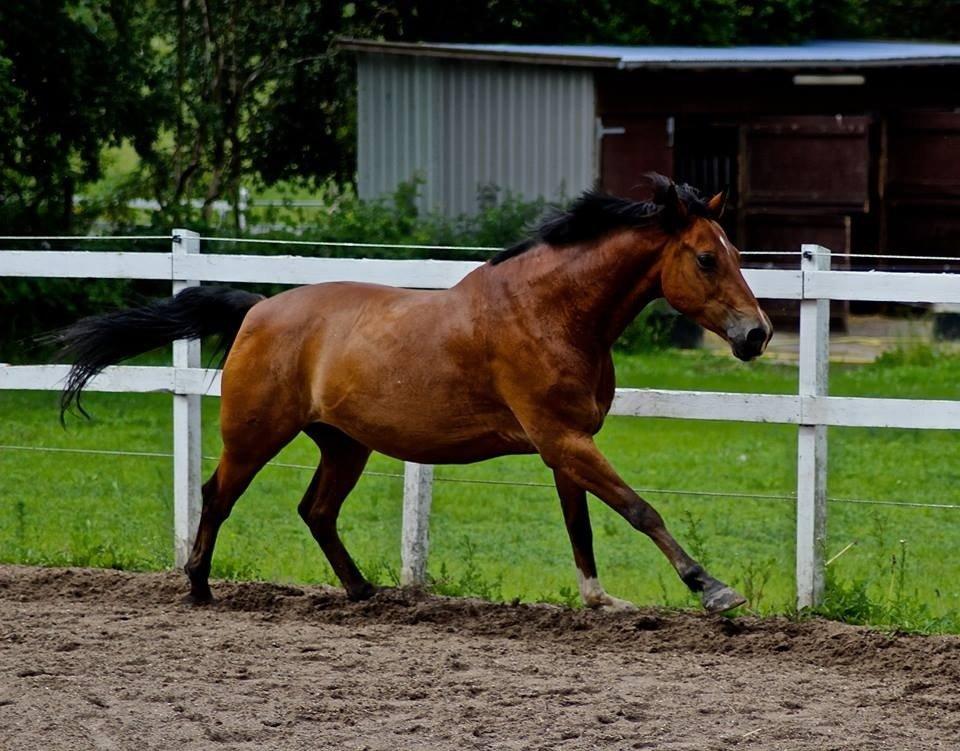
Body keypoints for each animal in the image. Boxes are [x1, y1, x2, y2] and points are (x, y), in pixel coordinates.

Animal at [52, 178, 772, 616]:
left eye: (737, 253)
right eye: (707, 258)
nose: (757, 333)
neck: (551, 312)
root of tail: (257, 308)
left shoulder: (567, 441)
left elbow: (584, 523)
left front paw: (600, 600)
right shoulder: (561, 437)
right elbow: (639, 509)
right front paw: (713, 589)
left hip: (344, 444)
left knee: (316, 510)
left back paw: (362, 589)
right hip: (256, 434)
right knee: (217, 494)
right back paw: (199, 585)